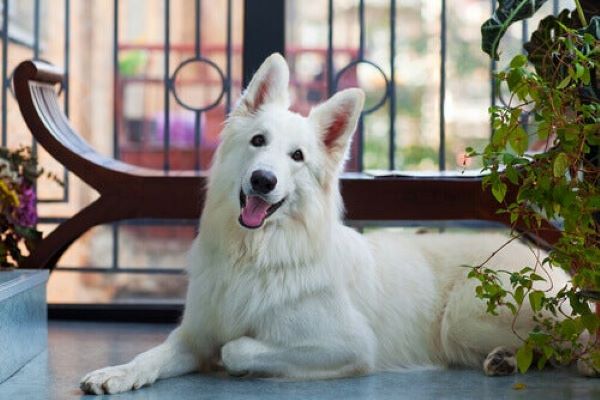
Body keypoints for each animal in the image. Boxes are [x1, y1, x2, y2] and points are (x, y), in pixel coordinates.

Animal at [79, 54, 572, 396]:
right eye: (258, 141)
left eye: (297, 156)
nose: (263, 180)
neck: (254, 256)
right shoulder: (191, 335)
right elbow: (150, 355)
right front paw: (116, 373)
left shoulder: (351, 345)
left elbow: (236, 347)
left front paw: (239, 363)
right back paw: (506, 359)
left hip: (461, 320)